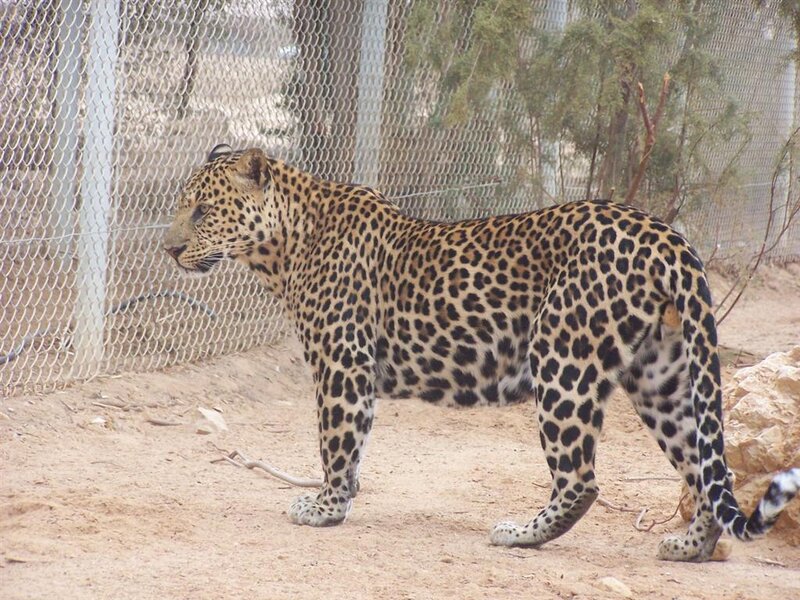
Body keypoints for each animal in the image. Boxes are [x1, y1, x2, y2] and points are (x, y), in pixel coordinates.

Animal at [163, 144, 800, 561]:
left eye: (202, 210)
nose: (167, 249)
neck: (284, 247)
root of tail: (665, 235)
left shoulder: (341, 364)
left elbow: (336, 442)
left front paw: (324, 509)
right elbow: (352, 444)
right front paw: (338, 504)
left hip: (562, 356)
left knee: (582, 478)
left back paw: (520, 534)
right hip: (659, 376)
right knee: (704, 466)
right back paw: (690, 546)